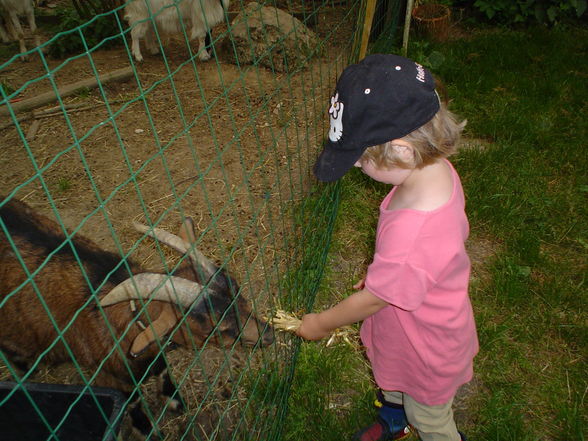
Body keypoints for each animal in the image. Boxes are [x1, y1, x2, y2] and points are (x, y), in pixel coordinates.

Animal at [0, 195, 274, 436]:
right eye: (213, 327)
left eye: (236, 288)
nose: (269, 334)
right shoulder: (114, 380)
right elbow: (134, 408)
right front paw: (150, 432)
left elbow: (162, 371)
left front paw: (175, 403)